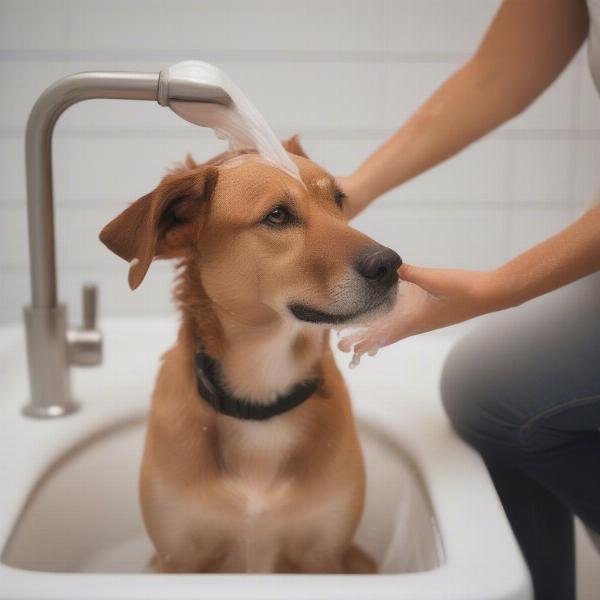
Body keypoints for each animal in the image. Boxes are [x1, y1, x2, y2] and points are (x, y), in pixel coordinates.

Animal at [101, 138, 400, 576]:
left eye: (339, 200)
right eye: (277, 215)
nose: (391, 265)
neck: (262, 396)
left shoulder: (324, 558)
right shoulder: (178, 559)